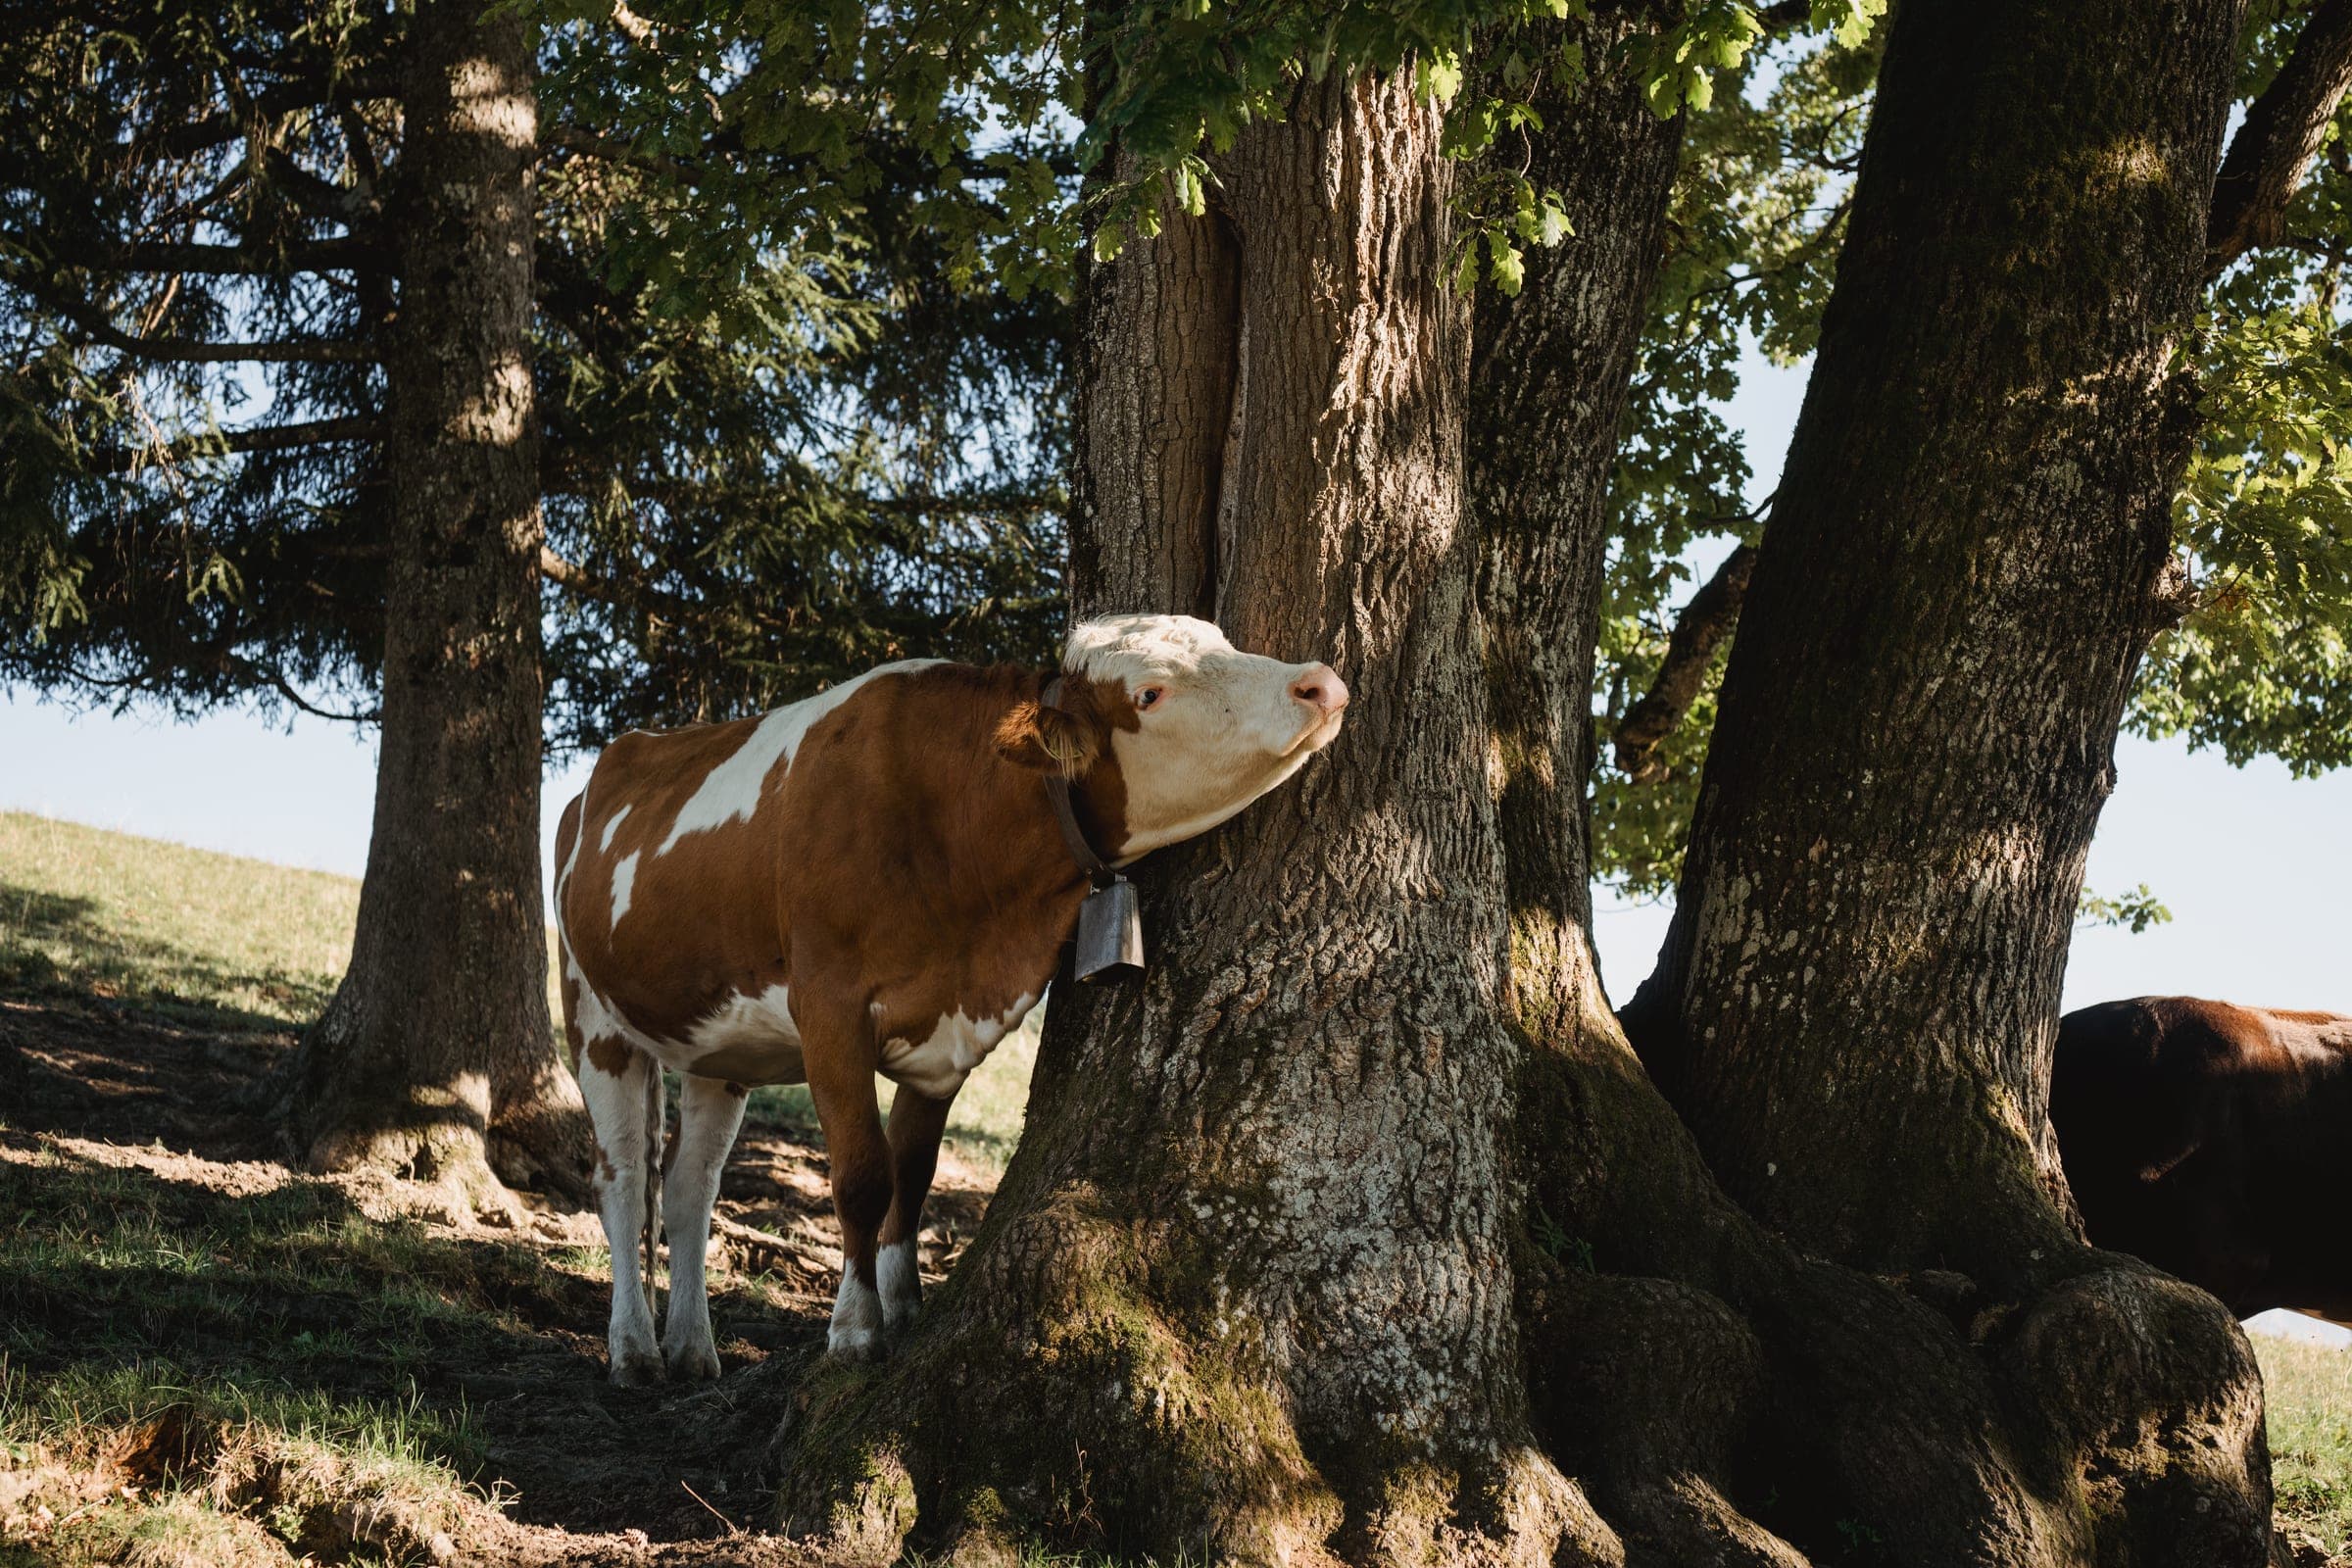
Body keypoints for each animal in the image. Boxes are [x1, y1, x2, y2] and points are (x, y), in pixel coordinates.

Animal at [552, 613, 1350, 1382]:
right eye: (1149, 693)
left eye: (1220, 637)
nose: (1320, 683)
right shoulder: (830, 1010)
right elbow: (863, 1175)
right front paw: (856, 1328)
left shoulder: (947, 1032)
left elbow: (913, 1173)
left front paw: (905, 1306)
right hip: (594, 1018)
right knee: (624, 1178)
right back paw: (634, 1349)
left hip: (720, 1046)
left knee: (691, 1186)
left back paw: (691, 1346)